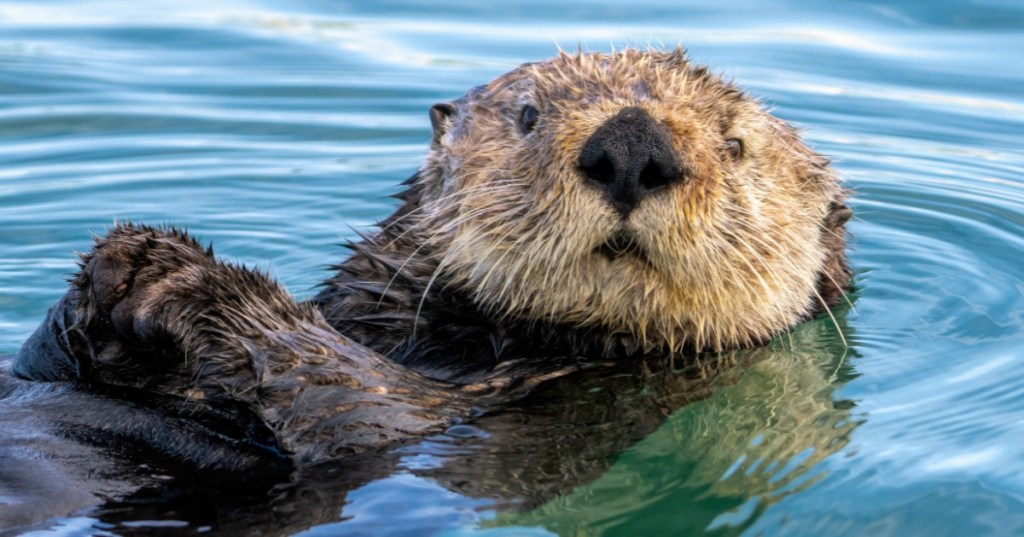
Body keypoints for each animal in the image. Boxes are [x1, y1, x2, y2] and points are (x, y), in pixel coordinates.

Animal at [2, 48, 851, 526]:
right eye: (528, 115)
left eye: (735, 144)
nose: (632, 144)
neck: (467, 342)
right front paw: (119, 266)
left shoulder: (521, 419)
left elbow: (353, 401)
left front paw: (180, 275)